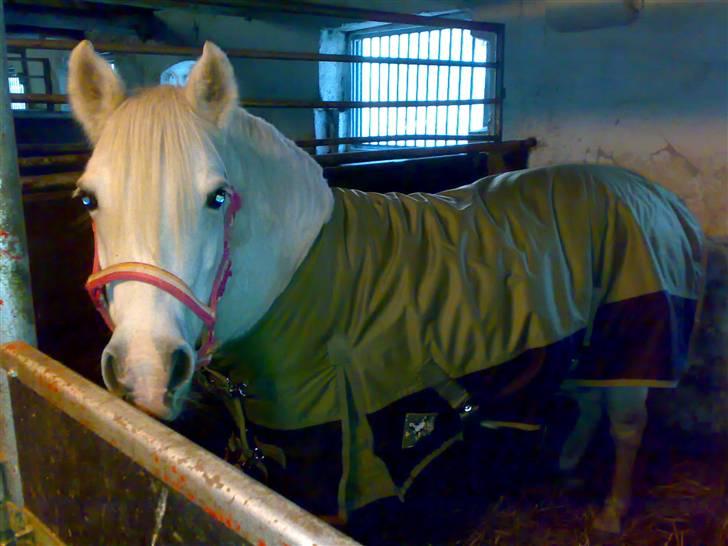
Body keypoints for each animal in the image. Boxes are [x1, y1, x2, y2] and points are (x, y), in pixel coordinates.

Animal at [67, 40, 704, 537]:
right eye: (88, 199)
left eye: (216, 197)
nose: (145, 372)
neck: (302, 282)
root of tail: (650, 193)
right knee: (592, 400)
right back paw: (568, 468)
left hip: (635, 340)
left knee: (627, 426)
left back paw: (612, 514)